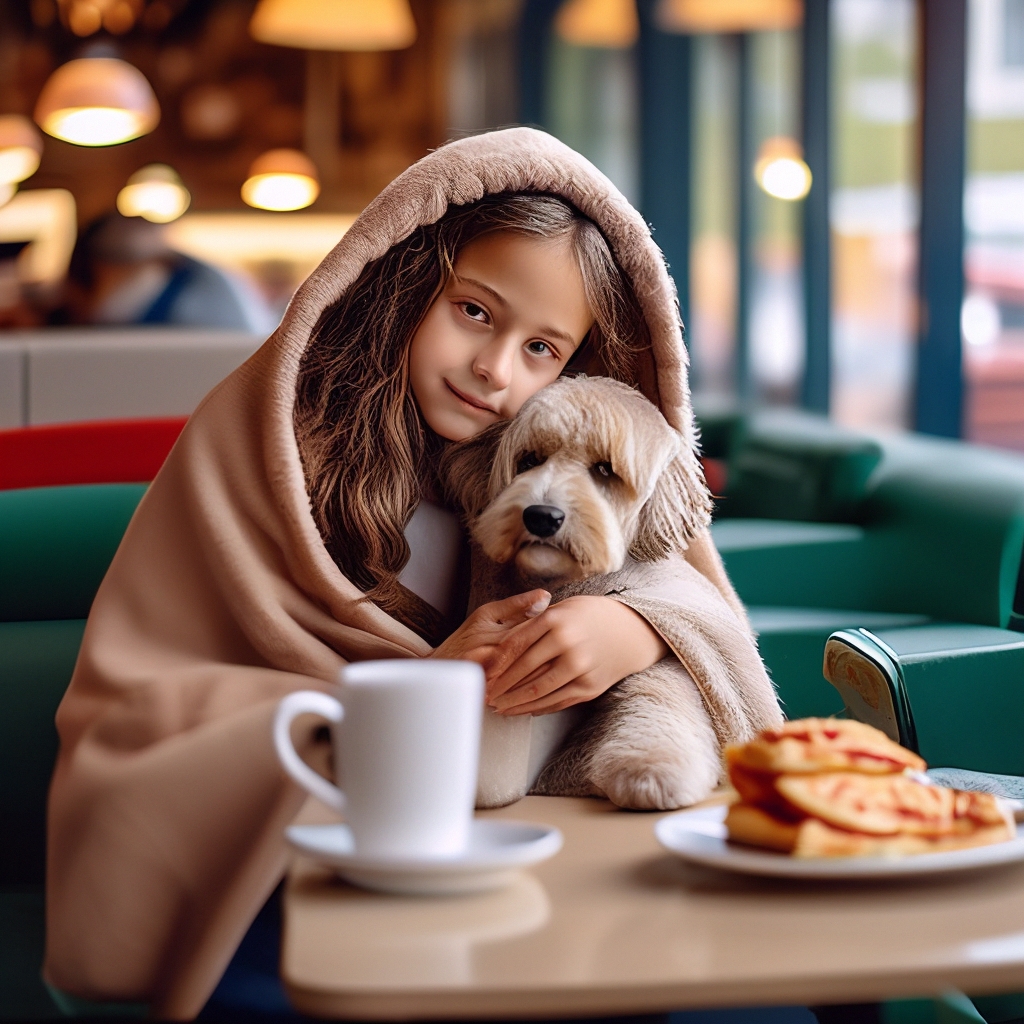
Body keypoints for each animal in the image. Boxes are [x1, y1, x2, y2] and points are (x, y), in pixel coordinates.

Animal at [444, 372, 724, 811]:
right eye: (528, 460)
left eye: (605, 469)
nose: (542, 516)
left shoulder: (660, 657)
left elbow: (660, 691)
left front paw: (652, 768)